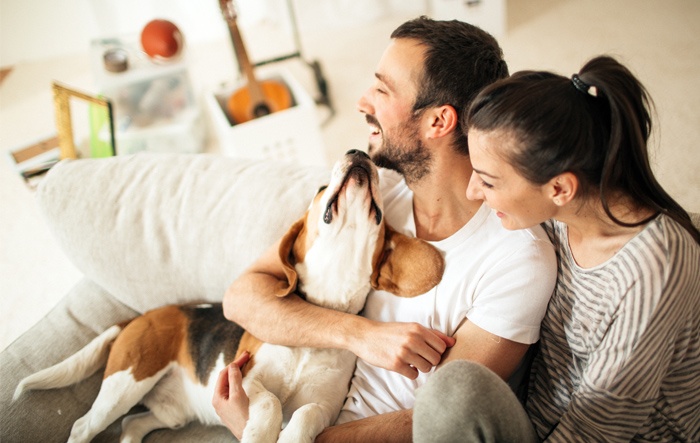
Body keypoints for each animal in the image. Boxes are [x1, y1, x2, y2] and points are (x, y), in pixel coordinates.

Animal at [13, 150, 446, 443]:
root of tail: (143, 316)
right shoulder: (244, 377)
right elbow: (271, 404)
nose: (358, 153)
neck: (320, 317)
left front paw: (291, 436)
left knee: (132, 423)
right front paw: (259, 433)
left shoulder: (325, 406)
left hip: (168, 412)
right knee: (85, 425)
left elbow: (304, 413)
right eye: (322, 188)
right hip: (127, 381)